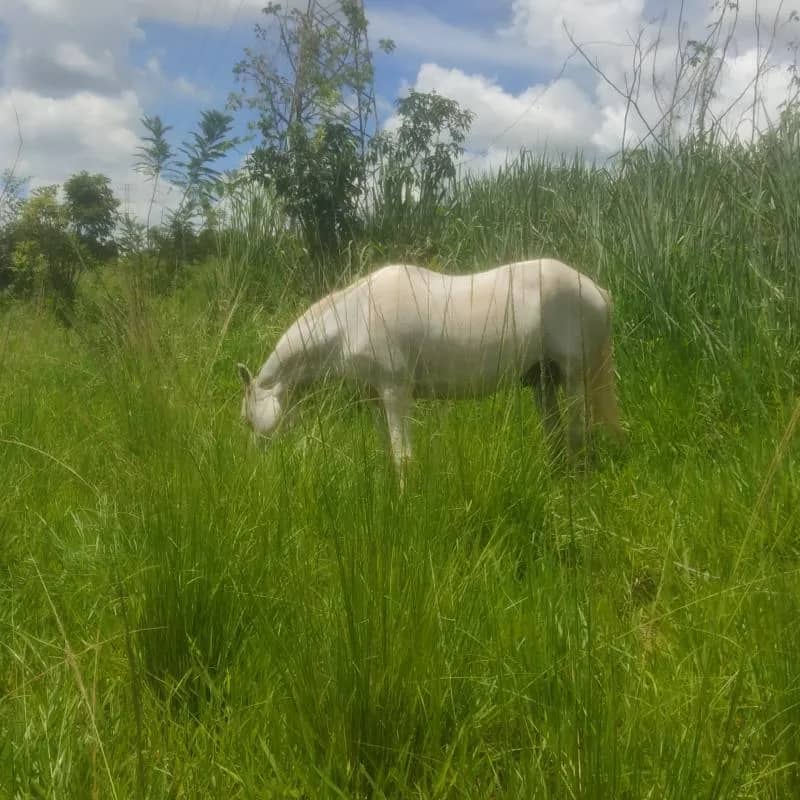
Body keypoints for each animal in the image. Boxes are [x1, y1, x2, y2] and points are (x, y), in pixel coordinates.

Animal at [238, 259, 625, 475]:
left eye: (246, 420)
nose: (258, 467)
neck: (352, 318)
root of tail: (597, 290)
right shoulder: (377, 398)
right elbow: (388, 453)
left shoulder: (396, 393)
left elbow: (402, 457)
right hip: (542, 380)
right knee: (555, 434)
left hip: (573, 377)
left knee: (576, 433)